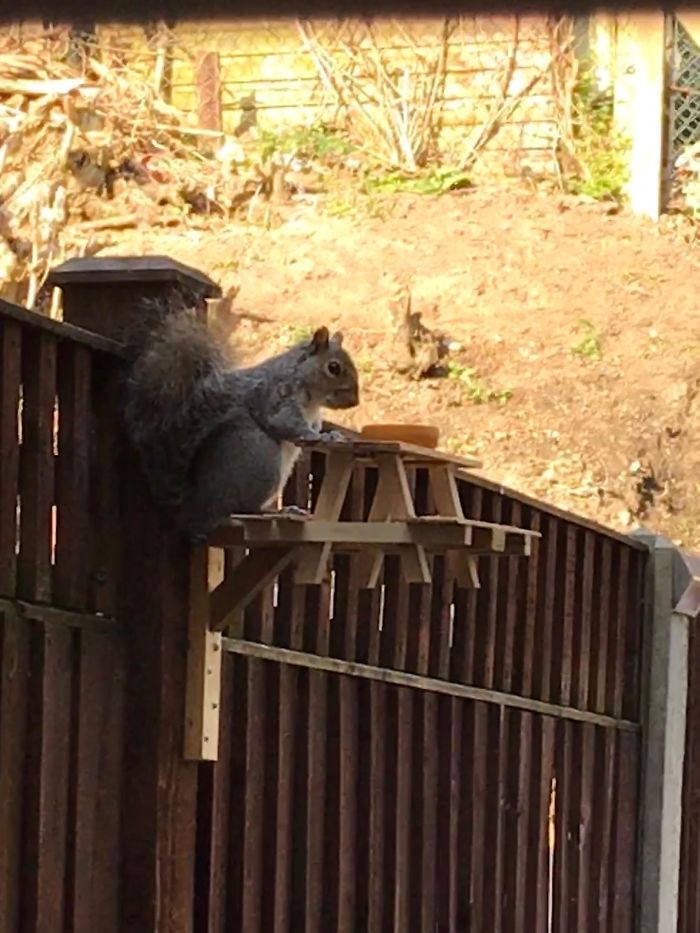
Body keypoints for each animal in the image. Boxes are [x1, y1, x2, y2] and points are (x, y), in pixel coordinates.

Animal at [122, 300, 360, 539]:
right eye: (333, 367)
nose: (355, 401)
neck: (312, 400)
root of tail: (195, 507)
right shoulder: (276, 397)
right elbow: (287, 423)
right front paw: (318, 436)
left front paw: (331, 434)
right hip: (260, 455)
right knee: (244, 508)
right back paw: (277, 512)